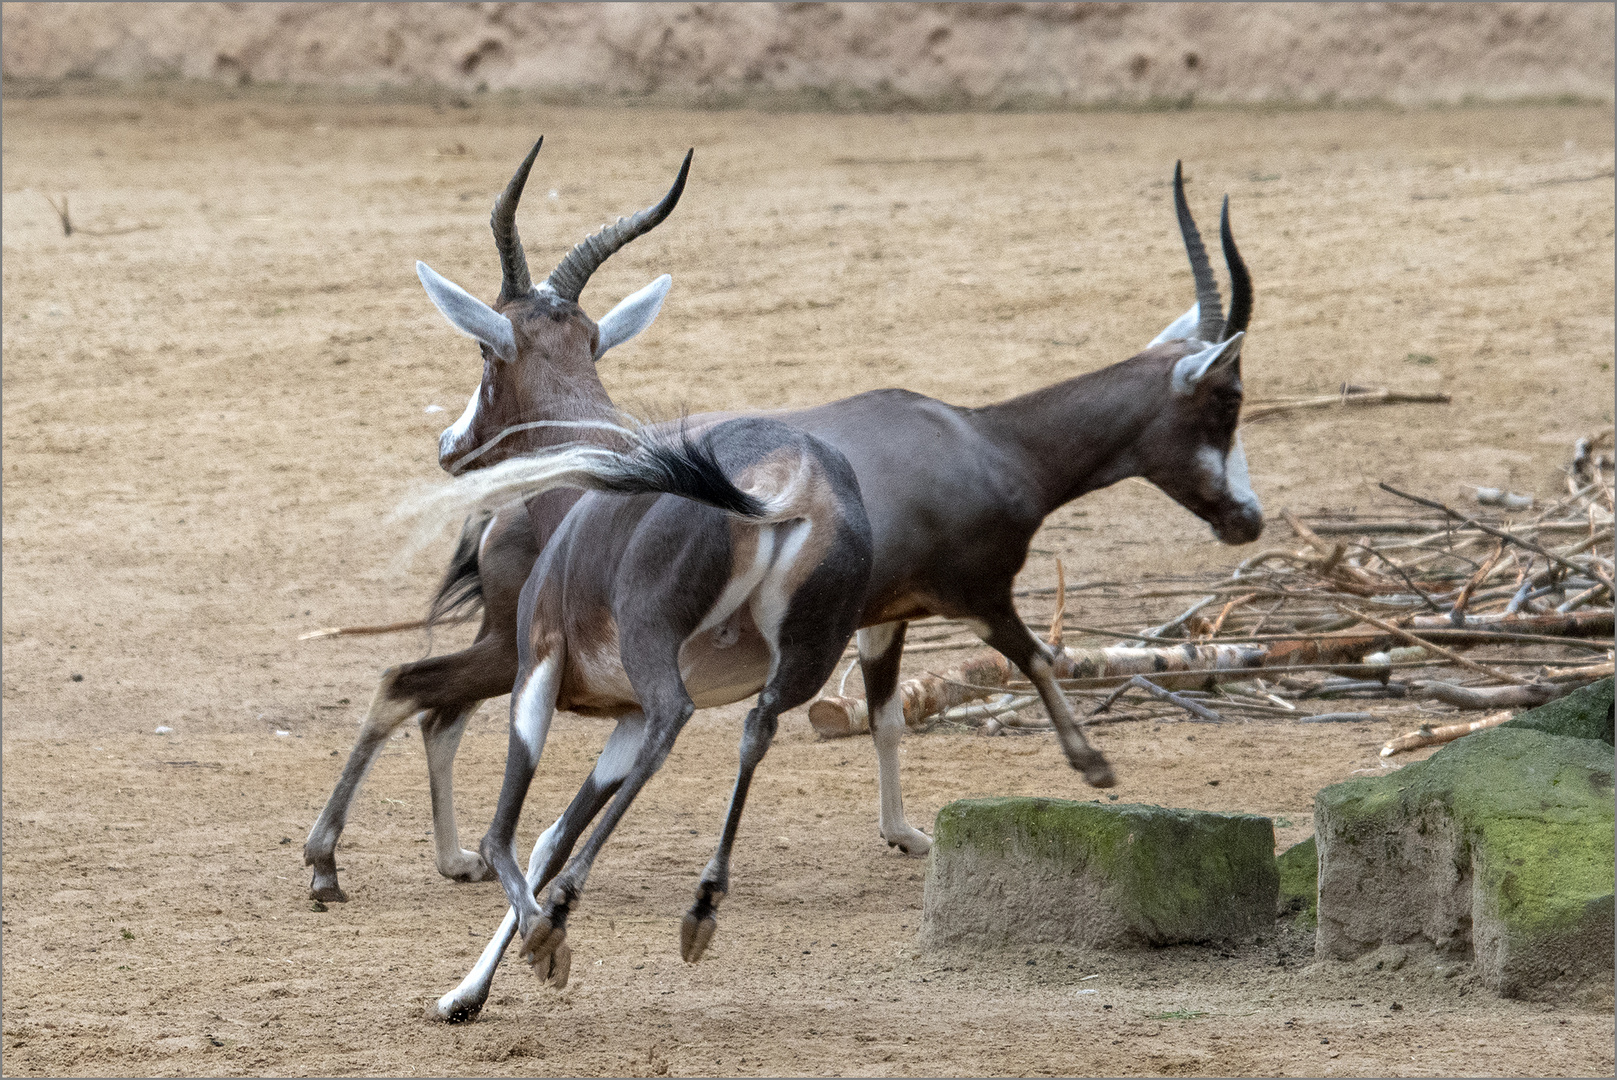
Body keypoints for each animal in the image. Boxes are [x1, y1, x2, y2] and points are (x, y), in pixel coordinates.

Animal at [423, 160, 1254, 1021]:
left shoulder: (553, 670)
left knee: (658, 730)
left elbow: (527, 832)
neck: (983, 442)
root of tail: (782, 484)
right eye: (1225, 399)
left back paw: (591, 910)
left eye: (483, 356)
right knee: (744, 727)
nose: (1246, 517)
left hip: (655, 661)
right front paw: (472, 987)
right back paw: (685, 910)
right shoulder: (904, 613)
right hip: (780, 653)